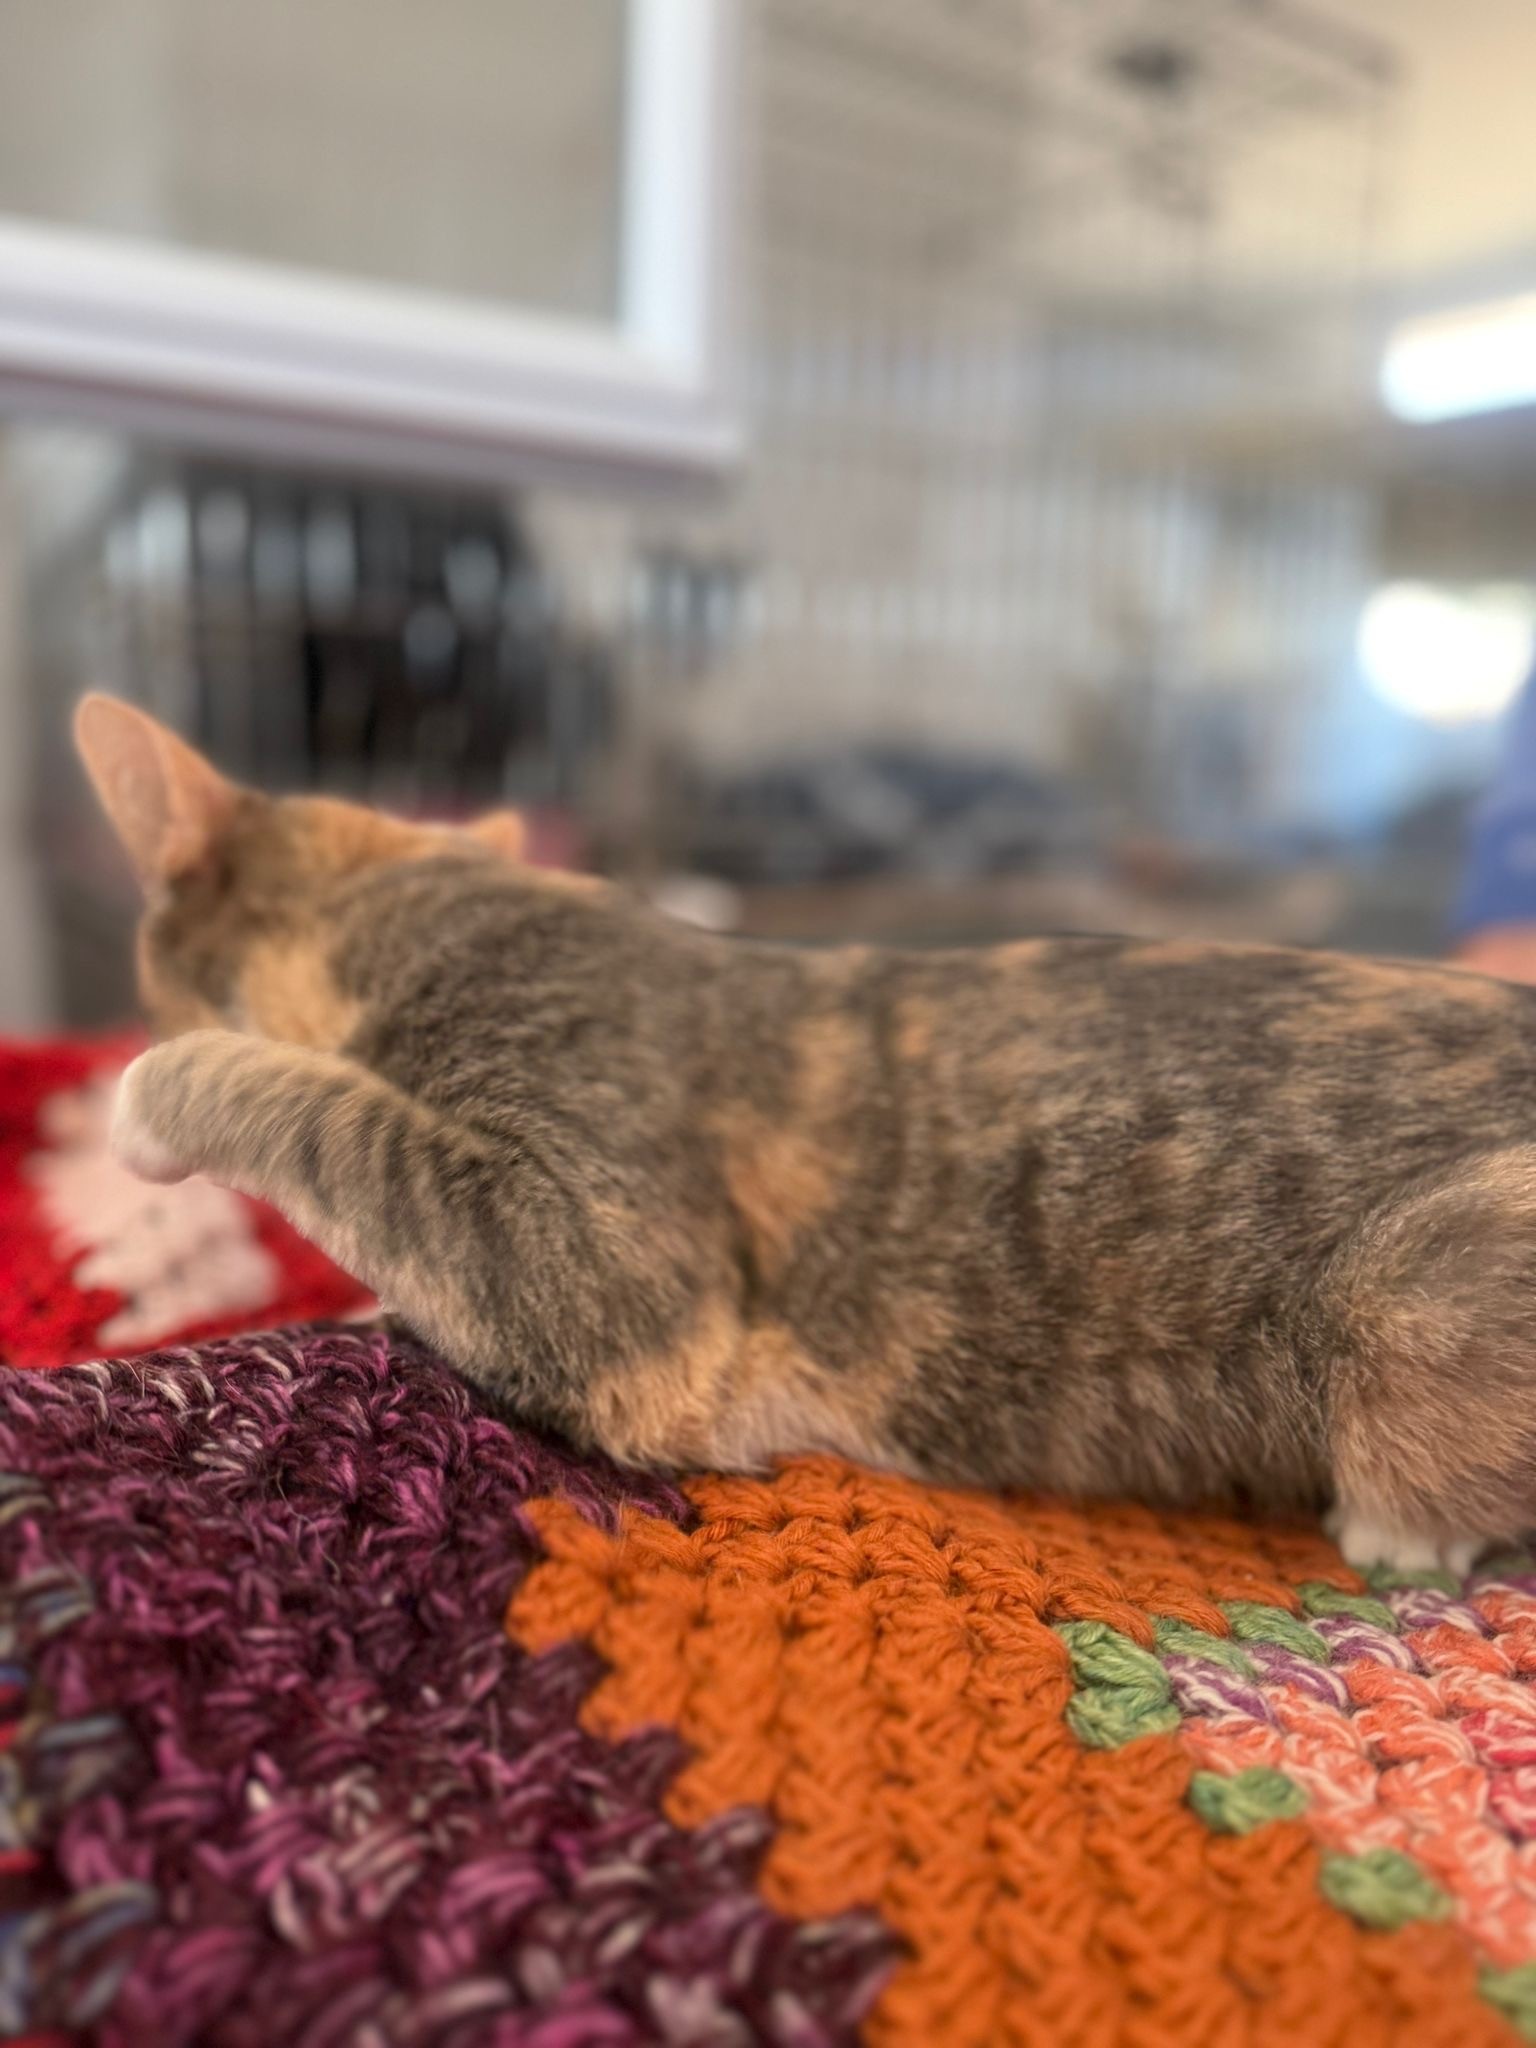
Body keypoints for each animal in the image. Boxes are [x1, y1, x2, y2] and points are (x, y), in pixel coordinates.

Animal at [75, 693, 1536, 1575]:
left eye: (147, 995)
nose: (130, 1024)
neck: (446, 907)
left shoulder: (601, 1265)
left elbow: (339, 1120)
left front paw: (152, 1094)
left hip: (1409, 1290)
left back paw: (1398, 1528)